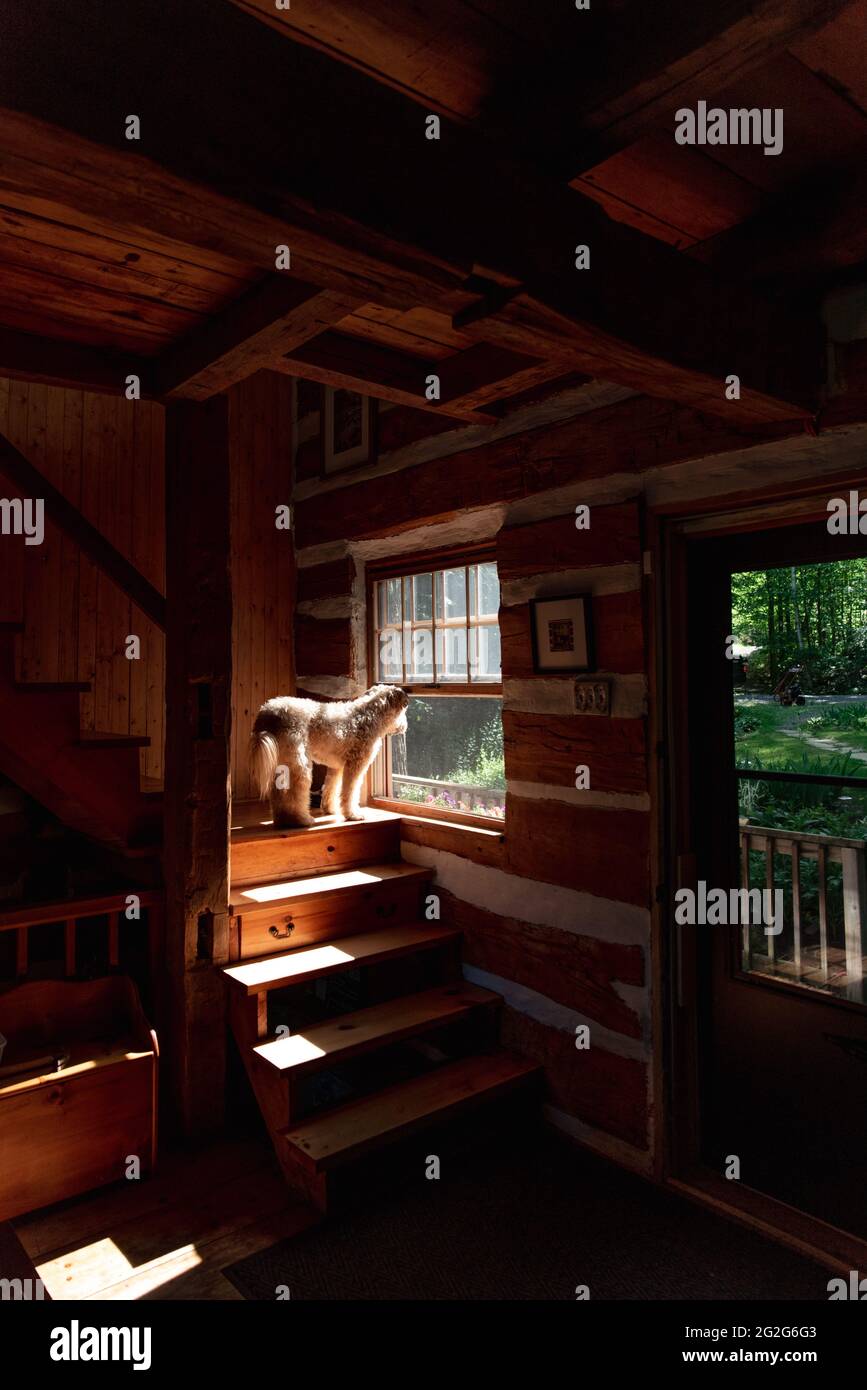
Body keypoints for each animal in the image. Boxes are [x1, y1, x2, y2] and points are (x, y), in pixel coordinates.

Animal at [250, 683, 408, 822]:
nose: (405, 726)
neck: (370, 715)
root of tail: (268, 712)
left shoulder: (336, 767)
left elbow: (331, 788)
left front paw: (330, 809)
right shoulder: (355, 766)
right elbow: (350, 792)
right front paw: (353, 815)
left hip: (282, 762)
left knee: (278, 792)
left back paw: (282, 819)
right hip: (299, 764)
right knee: (292, 794)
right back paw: (300, 819)